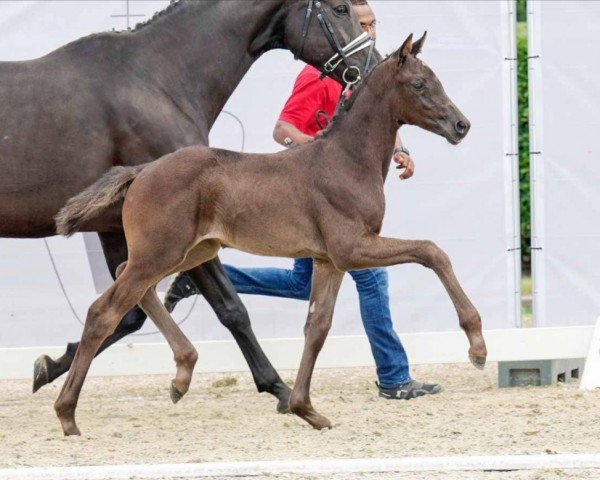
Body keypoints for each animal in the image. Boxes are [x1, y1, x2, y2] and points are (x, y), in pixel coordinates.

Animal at [0, 0, 376, 408]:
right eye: (340, 8)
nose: (373, 67)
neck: (157, 80)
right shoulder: (186, 227)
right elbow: (231, 307)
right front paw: (277, 387)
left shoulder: (114, 229)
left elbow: (129, 314)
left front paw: (48, 366)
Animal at [56, 31, 488, 434]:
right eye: (419, 84)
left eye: (435, 79)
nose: (462, 125)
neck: (345, 160)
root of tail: (142, 170)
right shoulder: (352, 248)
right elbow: (432, 251)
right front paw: (477, 347)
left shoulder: (328, 261)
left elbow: (317, 328)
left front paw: (306, 410)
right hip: (161, 251)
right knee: (104, 310)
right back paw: (67, 414)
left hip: (190, 251)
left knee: (132, 284)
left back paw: (182, 374)